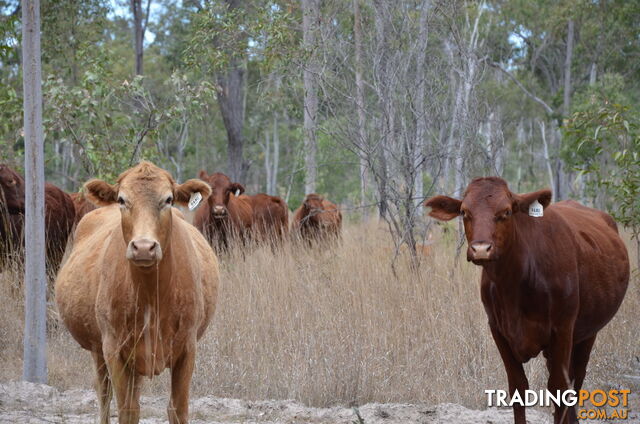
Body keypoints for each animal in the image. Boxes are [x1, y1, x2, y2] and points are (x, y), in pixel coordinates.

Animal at [53, 162, 218, 424]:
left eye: (168, 199)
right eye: (122, 199)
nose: (143, 247)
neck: (152, 295)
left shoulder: (187, 348)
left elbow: (177, 408)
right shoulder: (114, 349)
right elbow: (127, 410)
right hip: (99, 350)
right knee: (104, 396)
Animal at [424, 176, 632, 424]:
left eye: (505, 212)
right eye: (464, 212)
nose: (481, 249)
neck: (514, 286)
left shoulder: (562, 329)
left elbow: (559, 389)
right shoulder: (498, 330)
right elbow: (518, 388)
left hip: (587, 334)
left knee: (575, 380)